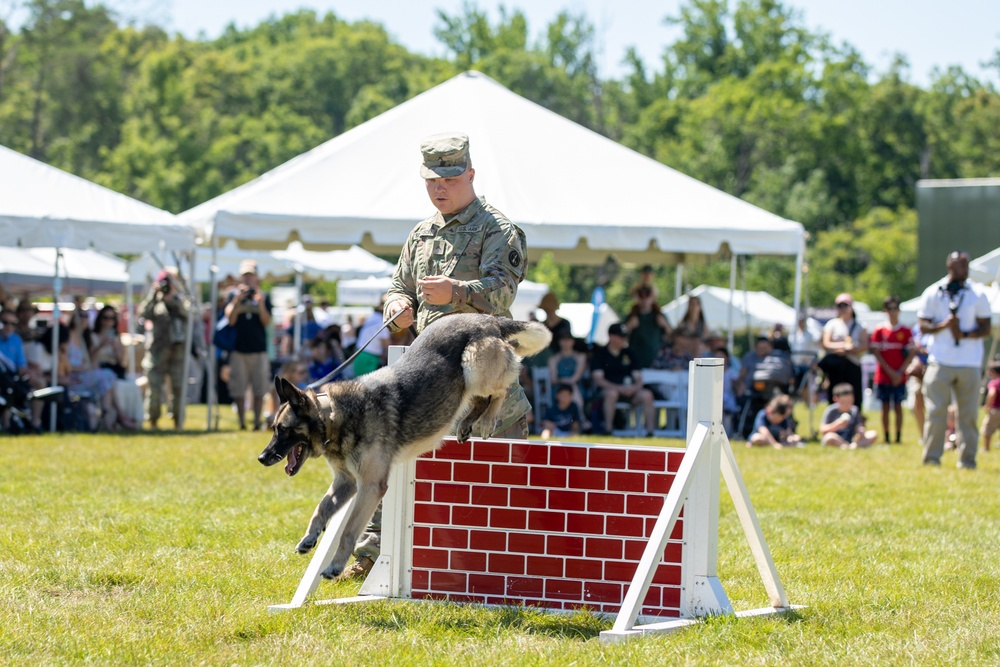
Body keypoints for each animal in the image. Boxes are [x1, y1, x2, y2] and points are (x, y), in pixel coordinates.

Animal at [258, 314, 552, 580]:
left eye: (282, 429)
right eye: (274, 428)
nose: (262, 458)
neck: (335, 417)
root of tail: (487, 319)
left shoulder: (370, 486)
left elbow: (348, 531)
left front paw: (335, 566)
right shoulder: (346, 482)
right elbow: (321, 509)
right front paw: (309, 538)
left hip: (474, 365)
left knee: (500, 390)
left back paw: (488, 419)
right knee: (479, 399)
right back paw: (468, 423)